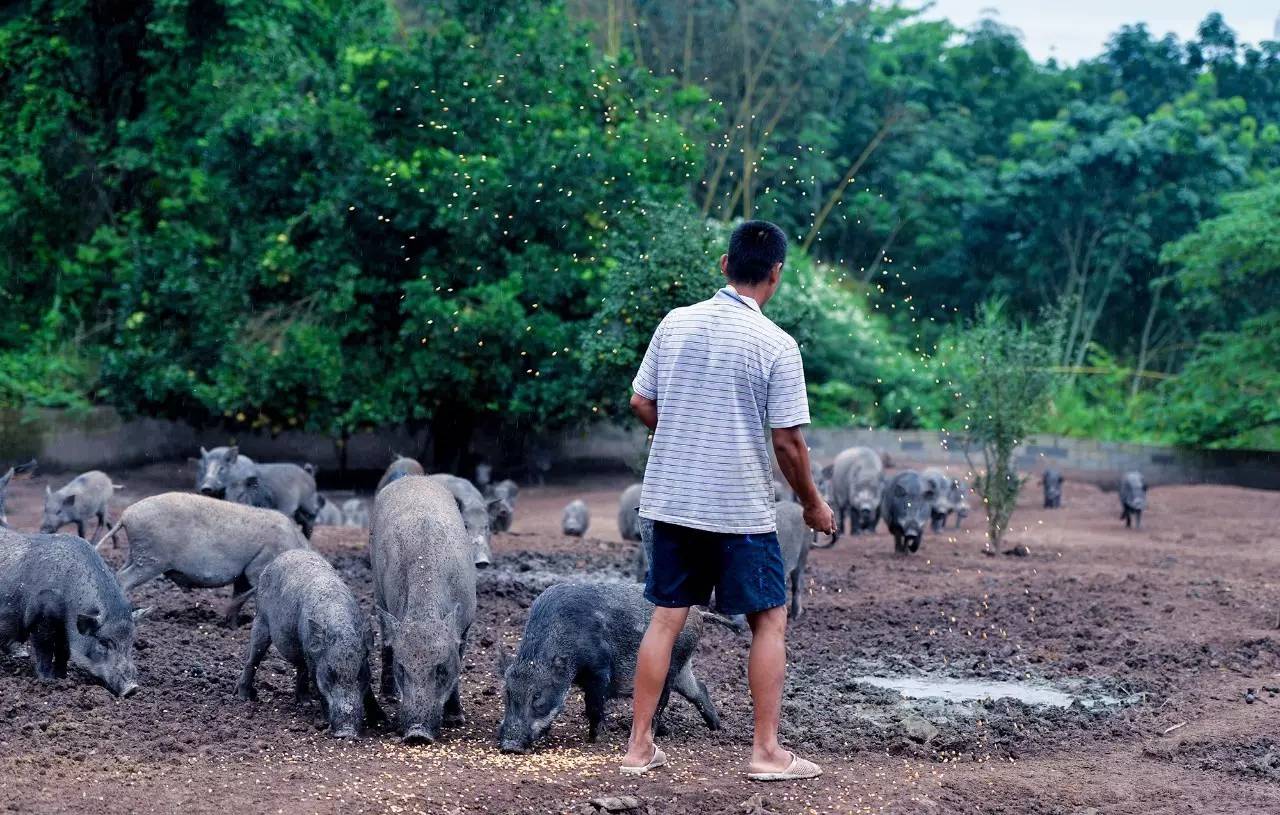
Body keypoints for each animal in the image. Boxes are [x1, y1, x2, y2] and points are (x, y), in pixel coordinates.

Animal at [1, 527, 147, 690]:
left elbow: (63, 652)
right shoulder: (41, 620)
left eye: (131, 642)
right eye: (103, 642)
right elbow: (44, 651)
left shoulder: (64, 631)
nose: (132, 688)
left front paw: (62, 678)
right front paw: (48, 680)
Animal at [106, 488, 309, 621]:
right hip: (151, 559)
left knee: (118, 574)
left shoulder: (243, 576)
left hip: (137, 554)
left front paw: (231, 625)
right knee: (124, 578)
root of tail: (126, 515)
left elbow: (237, 598)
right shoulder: (256, 570)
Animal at [238, 547, 381, 736]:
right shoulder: (315, 661)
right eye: (330, 672)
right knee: (252, 659)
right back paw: (244, 698)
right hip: (260, 619)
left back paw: (305, 703)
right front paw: (325, 722)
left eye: (359, 673)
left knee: (300, 669)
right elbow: (320, 690)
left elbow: (369, 693)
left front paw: (382, 720)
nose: (347, 732)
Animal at [371, 470, 481, 742]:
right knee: (385, 639)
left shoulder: (465, 625)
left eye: (441, 669)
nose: (416, 733)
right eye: (402, 669)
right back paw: (388, 695)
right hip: (377, 590)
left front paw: (456, 719)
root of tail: (412, 477)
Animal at [496, 580, 721, 752]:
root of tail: (699, 613)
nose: (510, 746)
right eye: (507, 692)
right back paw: (717, 728)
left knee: (663, 699)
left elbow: (594, 705)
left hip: (671, 666)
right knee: (700, 689)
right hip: (683, 668)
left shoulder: (599, 669)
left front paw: (595, 739)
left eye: (537, 696)